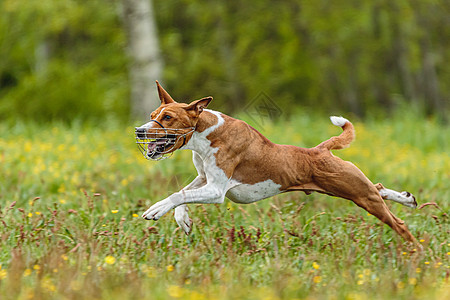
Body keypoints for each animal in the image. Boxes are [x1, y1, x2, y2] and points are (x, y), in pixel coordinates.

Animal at [134, 81, 418, 244]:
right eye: (152, 114)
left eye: (168, 117)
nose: (139, 131)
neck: (206, 134)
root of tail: (321, 150)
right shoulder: (205, 179)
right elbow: (182, 192)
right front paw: (183, 220)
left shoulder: (216, 190)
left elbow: (177, 195)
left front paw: (156, 209)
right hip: (353, 189)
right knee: (378, 188)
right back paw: (407, 198)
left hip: (358, 194)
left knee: (399, 223)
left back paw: (416, 253)